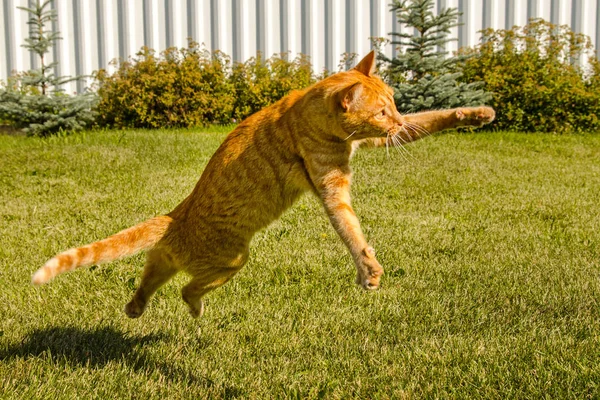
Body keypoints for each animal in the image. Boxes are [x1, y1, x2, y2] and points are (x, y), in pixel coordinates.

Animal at [30, 50, 494, 318]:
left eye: (395, 105)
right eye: (381, 112)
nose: (394, 120)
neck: (305, 112)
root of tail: (178, 215)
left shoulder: (374, 141)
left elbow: (431, 119)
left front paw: (475, 113)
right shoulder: (332, 187)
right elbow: (351, 230)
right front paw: (368, 270)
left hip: (171, 261)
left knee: (150, 278)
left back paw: (134, 308)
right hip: (233, 261)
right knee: (185, 289)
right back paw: (192, 308)